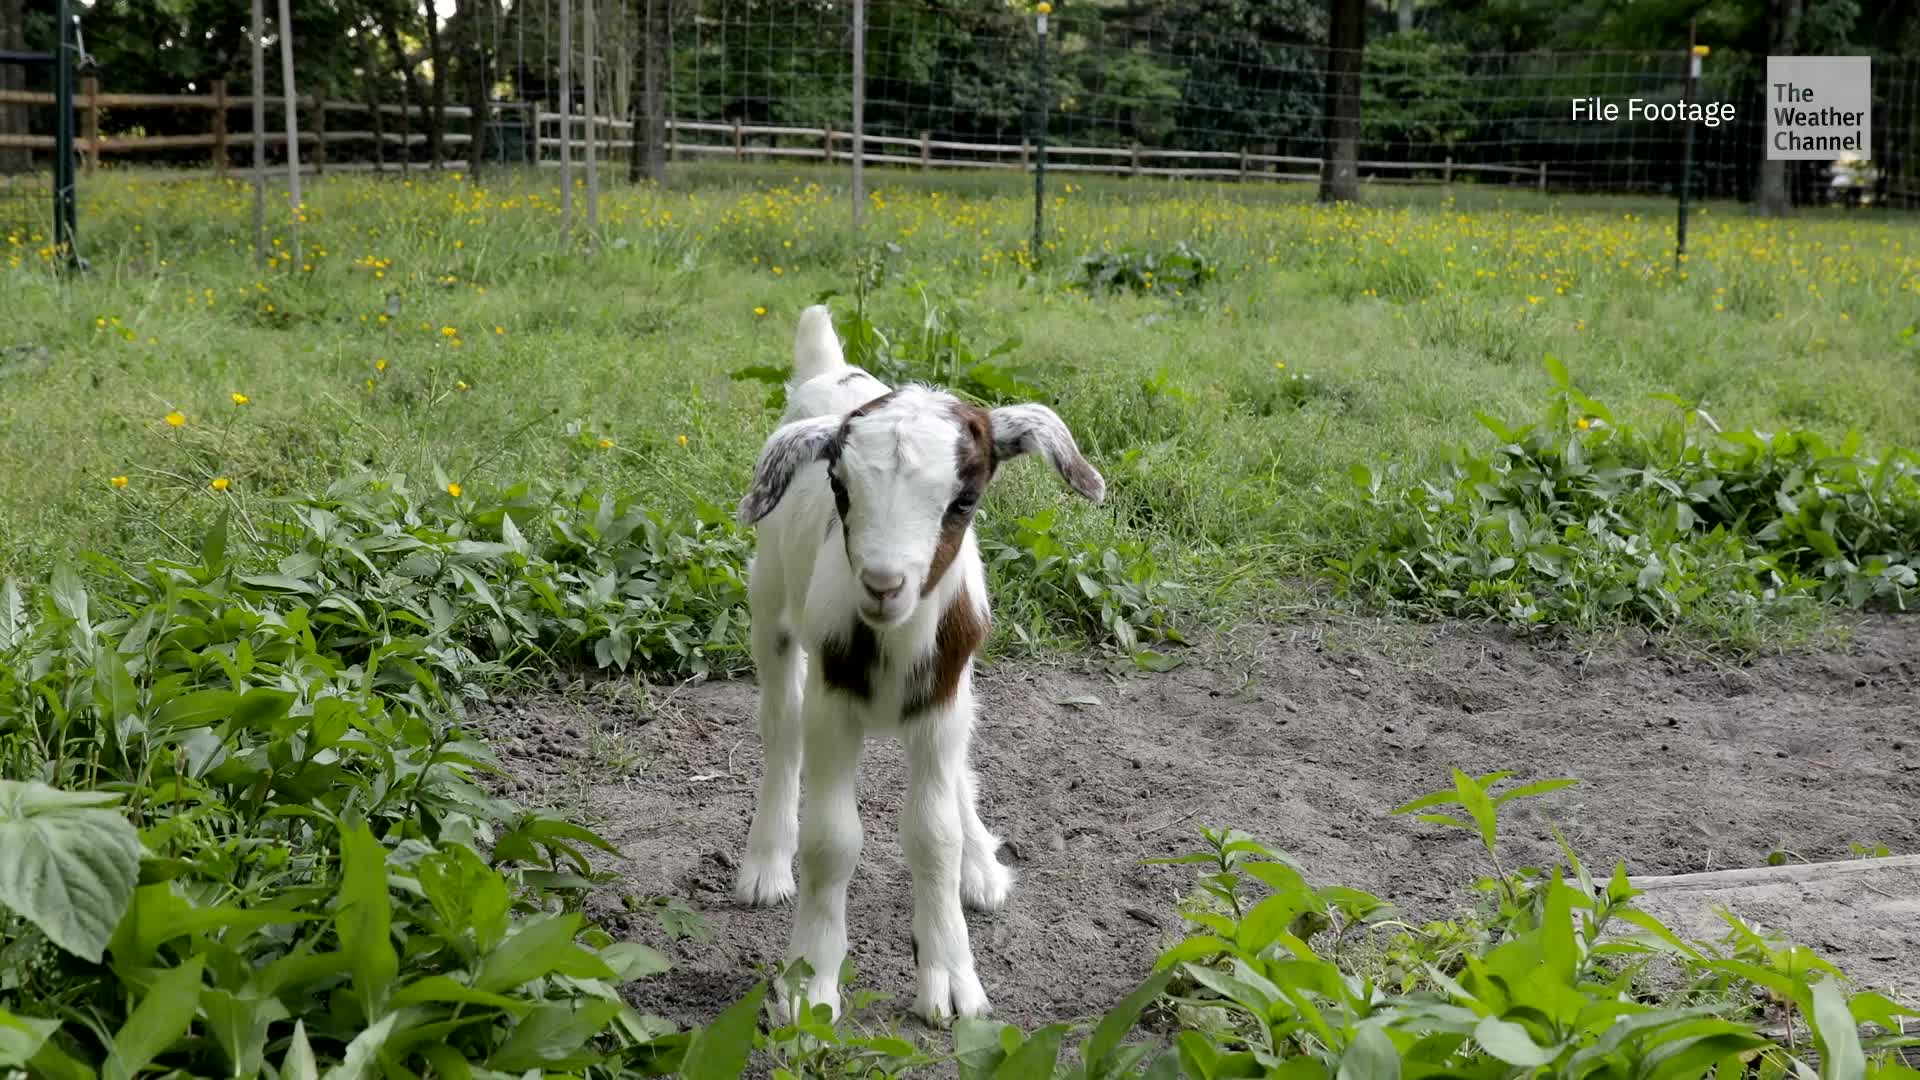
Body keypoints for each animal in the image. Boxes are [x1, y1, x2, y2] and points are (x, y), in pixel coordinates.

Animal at [732, 305, 1106, 1023]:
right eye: (840, 489)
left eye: (964, 500)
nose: (883, 584)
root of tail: (830, 368)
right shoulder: (832, 705)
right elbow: (831, 840)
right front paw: (809, 983)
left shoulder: (943, 699)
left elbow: (934, 836)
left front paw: (952, 978)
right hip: (769, 603)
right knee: (779, 728)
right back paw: (766, 864)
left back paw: (981, 868)